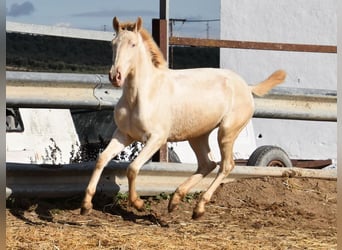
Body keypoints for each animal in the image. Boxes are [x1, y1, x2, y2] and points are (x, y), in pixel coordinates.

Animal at [80, 16, 286, 219]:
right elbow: (101, 159)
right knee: (207, 164)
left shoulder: (156, 138)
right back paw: (176, 200)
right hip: (198, 135)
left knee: (226, 165)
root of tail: (246, 87)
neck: (142, 94)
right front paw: (86, 205)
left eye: (133, 44)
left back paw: (199, 208)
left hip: (226, 132)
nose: (115, 76)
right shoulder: (124, 134)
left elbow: (132, 168)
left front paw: (138, 203)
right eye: (113, 44)